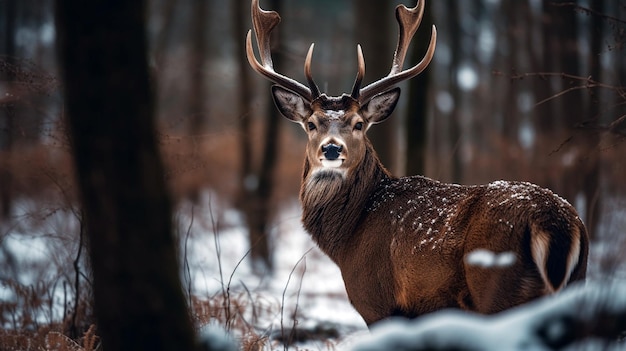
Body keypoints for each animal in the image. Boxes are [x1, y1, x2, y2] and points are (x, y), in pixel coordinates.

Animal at [244, 0, 584, 328]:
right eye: (311, 124)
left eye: (358, 124)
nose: (331, 149)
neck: (350, 234)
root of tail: (557, 222)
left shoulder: (376, 300)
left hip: (500, 285)